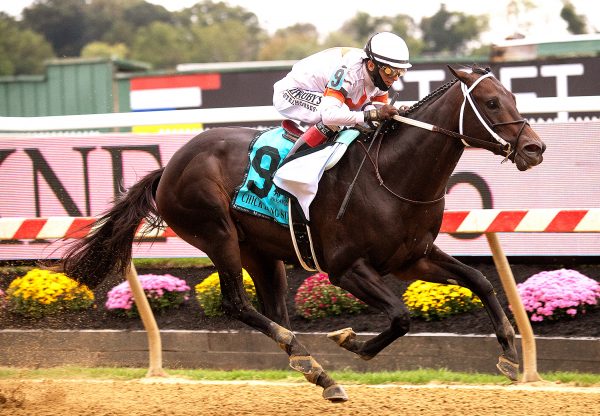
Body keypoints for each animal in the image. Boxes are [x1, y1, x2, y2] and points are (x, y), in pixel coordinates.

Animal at [63, 66, 548, 402]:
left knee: (275, 311)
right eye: (490, 102)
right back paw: (315, 366)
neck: (392, 175)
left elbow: (481, 280)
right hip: (217, 235)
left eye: (512, 95)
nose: (535, 148)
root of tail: (168, 167)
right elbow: (400, 316)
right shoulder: (345, 268)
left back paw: (312, 367)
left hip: (261, 252)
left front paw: (509, 356)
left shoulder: (413, 258)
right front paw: (352, 341)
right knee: (237, 304)